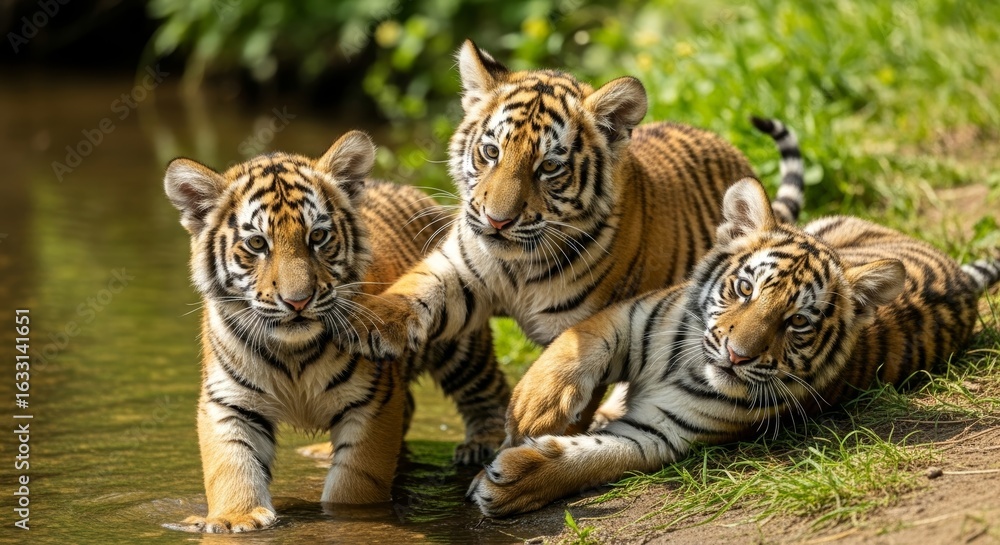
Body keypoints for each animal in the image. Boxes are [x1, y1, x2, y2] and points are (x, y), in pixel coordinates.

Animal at [161, 131, 509, 533]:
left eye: (318, 236)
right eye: (257, 243)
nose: (297, 301)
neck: (291, 352)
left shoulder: (372, 399)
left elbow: (356, 477)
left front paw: (347, 516)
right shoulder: (229, 403)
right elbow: (231, 465)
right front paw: (236, 518)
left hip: (458, 341)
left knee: (488, 389)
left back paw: (482, 444)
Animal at [337, 41, 807, 426]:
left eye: (548, 167)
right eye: (491, 151)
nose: (497, 221)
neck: (517, 266)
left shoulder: (583, 326)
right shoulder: (461, 272)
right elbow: (414, 291)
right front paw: (368, 322)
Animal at [468, 177, 1000, 517]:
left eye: (797, 322)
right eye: (745, 289)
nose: (738, 355)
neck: (683, 365)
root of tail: (958, 276)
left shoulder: (660, 433)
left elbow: (594, 458)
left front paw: (509, 484)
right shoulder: (629, 316)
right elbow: (579, 342)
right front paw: (534, 408)